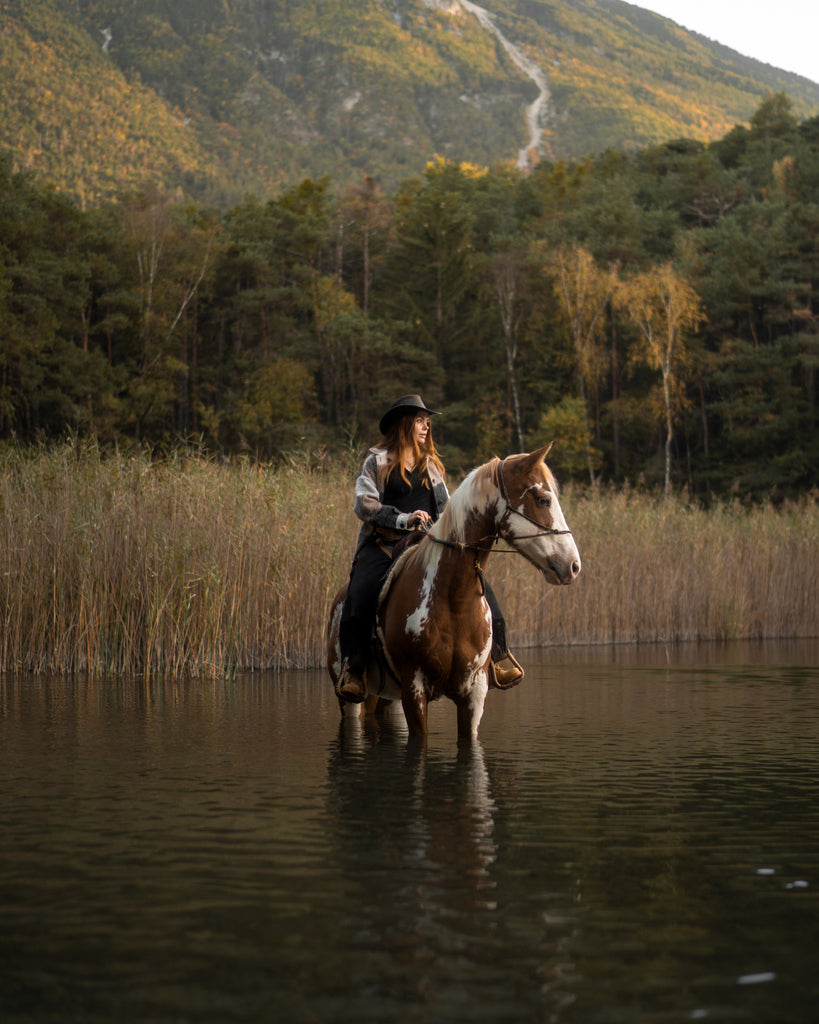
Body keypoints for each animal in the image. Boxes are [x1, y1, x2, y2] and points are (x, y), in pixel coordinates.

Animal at [325, 444, 581, 741]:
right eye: (542, 500)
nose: (573, 565)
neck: (453, 600)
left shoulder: (474, 693)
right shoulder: (414, 690)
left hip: (389, 698)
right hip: (351, 699)